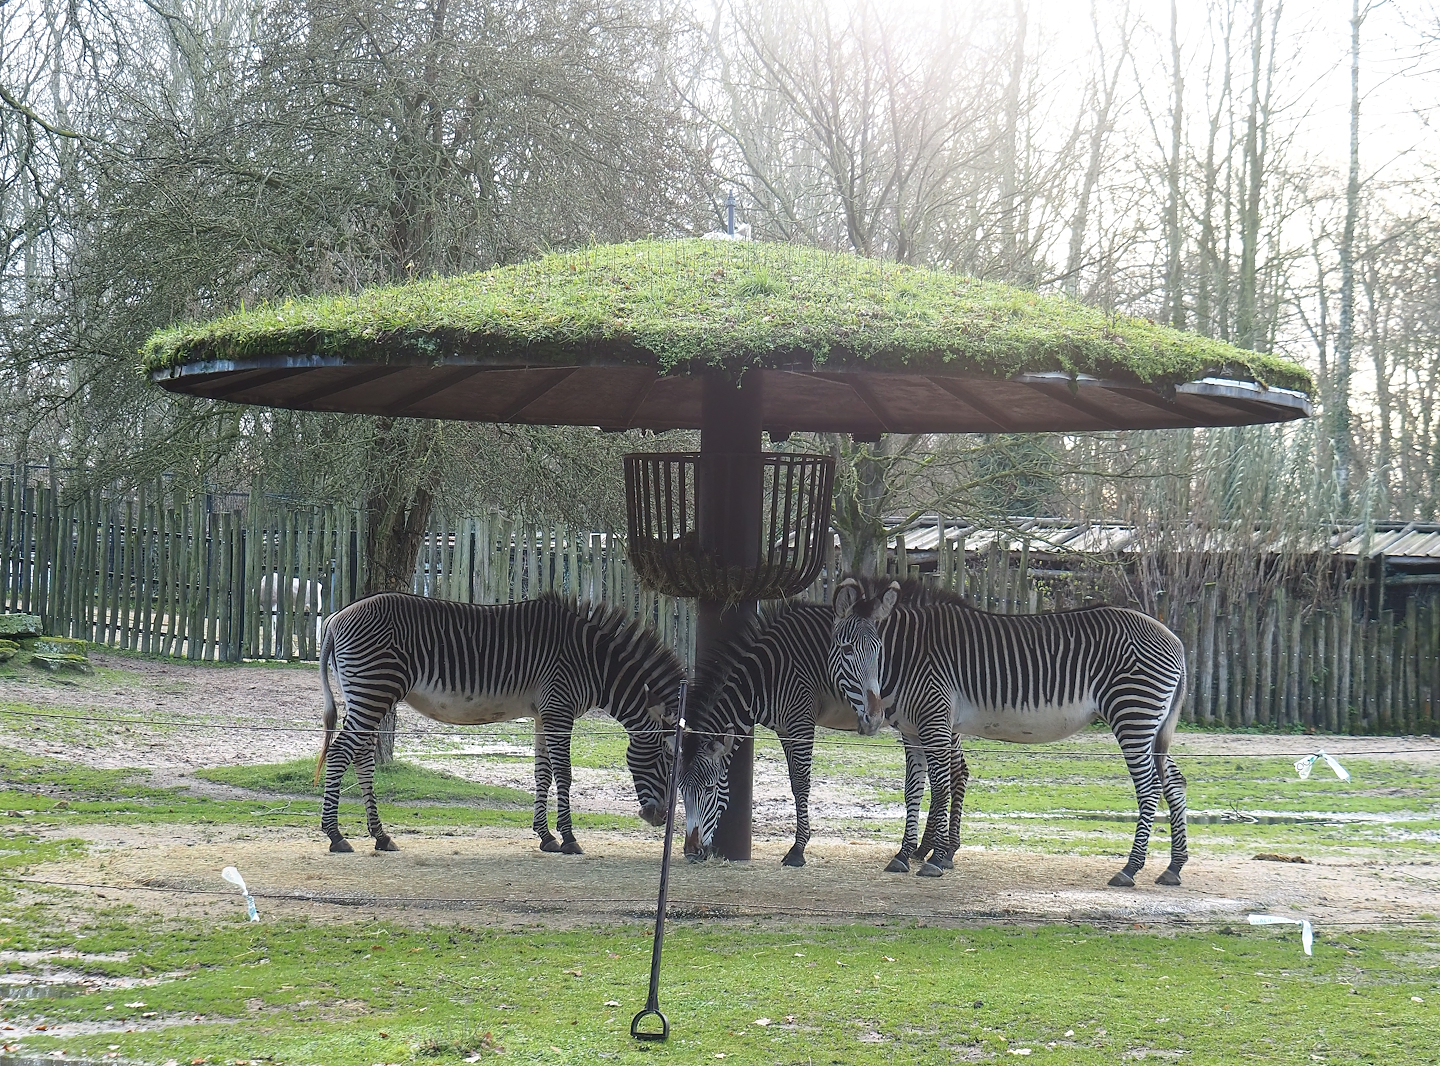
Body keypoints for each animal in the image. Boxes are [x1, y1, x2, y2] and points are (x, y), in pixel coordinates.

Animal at [314, 592, 684, 855]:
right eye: (667, 757)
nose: (661, 819)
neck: (594, 663)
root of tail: (335, 618)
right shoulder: (559, 709)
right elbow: (564, 774)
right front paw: (569, 838)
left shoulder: (543, 713)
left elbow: (542, 774)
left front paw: (546, 836)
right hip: (374, 689)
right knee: (341, 753)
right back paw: (335, 835)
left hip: (369, 693)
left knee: (361, 756)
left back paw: (380, 835)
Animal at [680, 598, 964, 870]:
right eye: (681, 790)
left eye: (709, 788)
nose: (691, 852)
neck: (764, 678)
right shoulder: (784, 729)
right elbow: (794, 782)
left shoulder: (801, 721)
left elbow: (801, 783)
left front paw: (798, 849)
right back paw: (924, 849)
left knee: (958, 773)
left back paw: (946, 853)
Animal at [828, 577, 1190, 887]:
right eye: (845, 649)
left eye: (879, 650)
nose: (872, 718)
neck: (911, 654)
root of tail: (1175, 640)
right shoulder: (913, 730)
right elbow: (913, 790)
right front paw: (904, 855)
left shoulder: (934, 719)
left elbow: (941, 786)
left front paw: (935, 858)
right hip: (1151, 724)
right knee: (1174, 781)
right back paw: (1173, 867)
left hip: (1133, 714)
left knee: (1149, 787)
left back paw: (1130, 868)